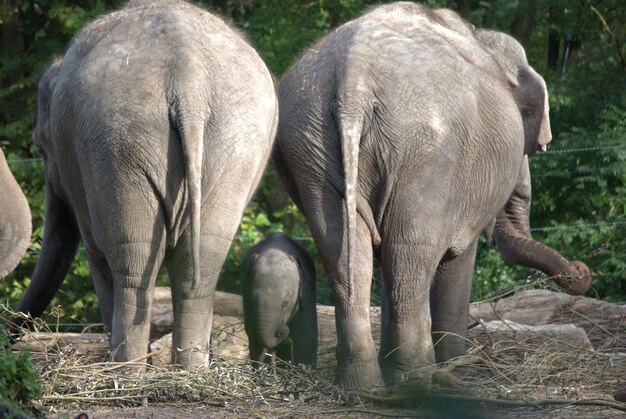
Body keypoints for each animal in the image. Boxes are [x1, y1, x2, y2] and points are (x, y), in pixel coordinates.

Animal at [9, 0, 278, 368]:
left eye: (39, 147)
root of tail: (188, 77)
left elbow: (95, 252)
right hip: (235, 147)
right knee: (202, 264)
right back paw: (188, 370)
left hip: (116, 140)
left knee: (129, 261)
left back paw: (127, 369)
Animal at [240, 233, 316, 368]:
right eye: (252, 300)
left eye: (285, 303)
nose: (281, 331)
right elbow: (254, 335)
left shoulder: (307, 291)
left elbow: (306, 337)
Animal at [274, 2, 560, 390]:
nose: (582, 274)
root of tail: (354, 79)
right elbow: (457, 258)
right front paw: (458, 372)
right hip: (428, 154)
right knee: (409, 250)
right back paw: (419, 379)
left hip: (310, 143)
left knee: (344, 250)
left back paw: (364, 385)